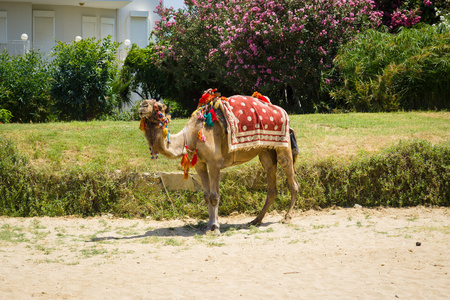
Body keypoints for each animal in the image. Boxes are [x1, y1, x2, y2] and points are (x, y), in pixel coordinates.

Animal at [137, 94, 298, 232]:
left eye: (159, 107)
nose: (142, 105)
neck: (190, 137)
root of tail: (285, 114)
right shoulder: (200, 164)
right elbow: (206, 195)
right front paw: (208, 225)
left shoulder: (214, 162)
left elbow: (214, 196)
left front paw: (214, 227)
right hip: (265, 150)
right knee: (271, 182)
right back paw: (255, 220)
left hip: (283, 145)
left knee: (291, 177)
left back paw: (287, 217)